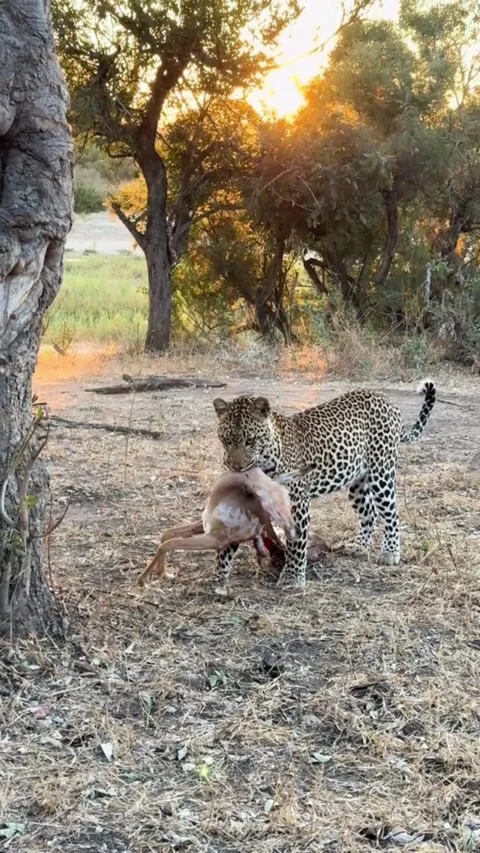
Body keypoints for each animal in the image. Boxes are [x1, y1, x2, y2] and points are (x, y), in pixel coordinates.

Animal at [212, 379, 436, 590]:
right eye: (225, 440)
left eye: (250, 441)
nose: (236, 467)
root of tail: (386, 400)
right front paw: (218, 578)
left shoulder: (296, 502)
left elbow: (296, 542)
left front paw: (293, 577)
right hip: (356, 481)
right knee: (369, 512)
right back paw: (359, 547)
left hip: (382, 473)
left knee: (391, 514)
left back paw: (390, 552)